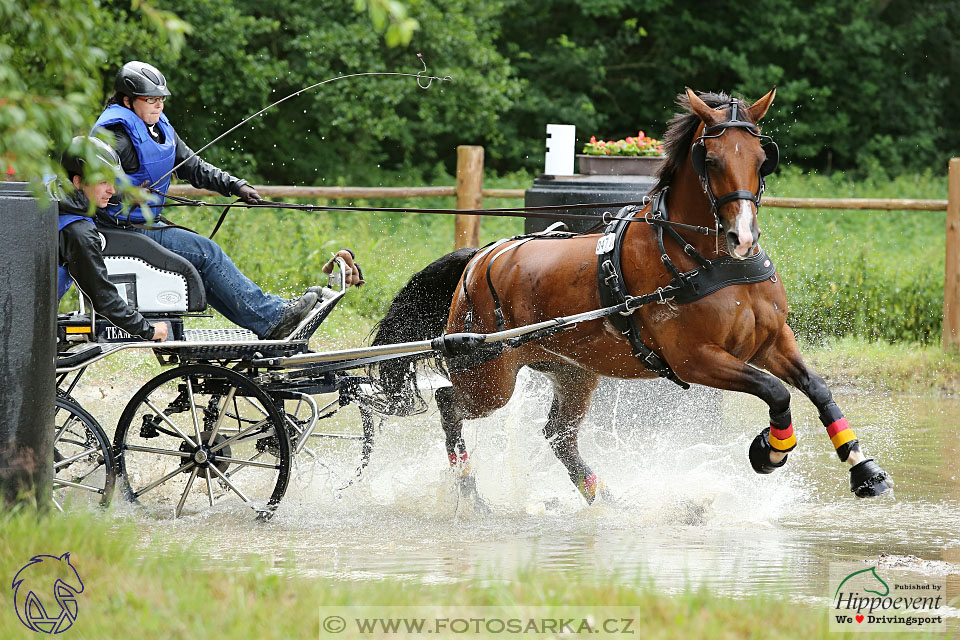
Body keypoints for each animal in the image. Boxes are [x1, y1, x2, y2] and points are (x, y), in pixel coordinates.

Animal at [370, 87, 892, 504]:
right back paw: (470, 492)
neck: (707, 261)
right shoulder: (697, 360)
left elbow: (817, 389)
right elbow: (775, 390)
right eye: (712, 160)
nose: (743, 237)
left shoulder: (771, 341)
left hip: (572, 371)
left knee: (558, 436)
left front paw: (864, 470)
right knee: (448, 404)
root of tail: (482, 255)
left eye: (763, 159)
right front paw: (771, 451)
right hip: (489, 378)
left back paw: (604, 498)